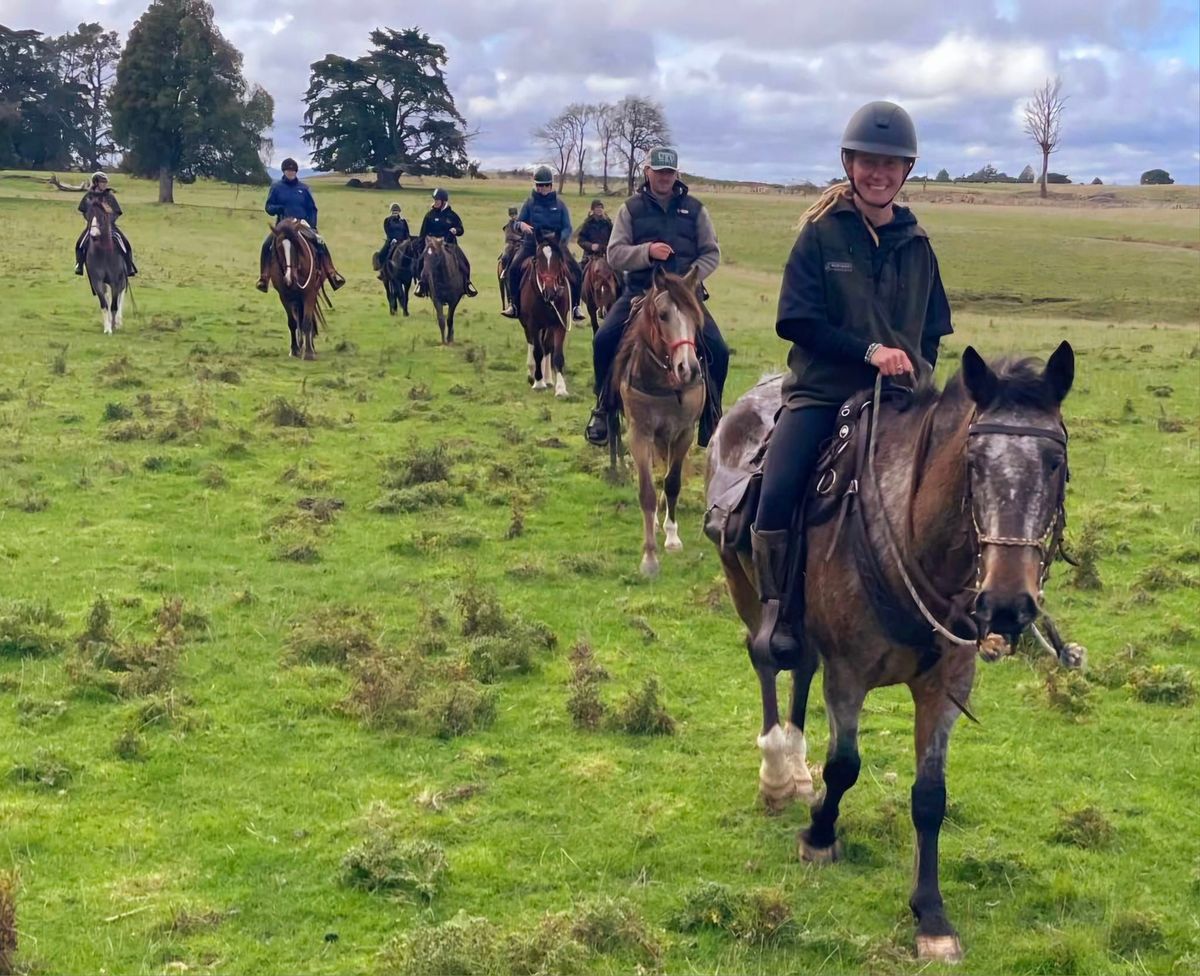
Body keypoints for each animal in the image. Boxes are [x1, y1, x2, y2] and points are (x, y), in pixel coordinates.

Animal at [82, 194, 127, 336]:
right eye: (89, 215)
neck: (103, 254)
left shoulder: (115, 281)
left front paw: (113, 324)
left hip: (122, 280)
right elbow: (104, 304)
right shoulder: (97, 281)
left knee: (120, 295)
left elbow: (114, 305)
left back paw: (118, 322)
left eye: (102, 216)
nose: (94, 235)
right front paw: (107, 328)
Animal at [268, 217, 328, 362]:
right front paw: (294, 349)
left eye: (296, 246)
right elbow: (292, 323)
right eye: (279, 247)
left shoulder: (309, 293)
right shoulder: (284, 296)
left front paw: (309, 353)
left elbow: (307, 321)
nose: (289, 278)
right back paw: (300, 345)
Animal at [516, 240, 571, 396]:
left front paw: (561, 389)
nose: (550, 292)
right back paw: (533, 374)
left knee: (546, 346)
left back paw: (548, 379)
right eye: (537, 260)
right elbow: (537, 351)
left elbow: (556, 354)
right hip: (527, 324)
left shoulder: (559, 323)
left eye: (558, 261)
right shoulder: (533, 324)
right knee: (532, 343)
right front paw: (538, 383)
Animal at [614, 262, 705, 573]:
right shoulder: (639, 434)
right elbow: (647, 491)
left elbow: (673, 482)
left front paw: (672, 537)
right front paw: (650, 557)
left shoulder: (684, 433)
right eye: (663, 315)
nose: (688, 368)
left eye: (696, 317)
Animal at [700, 340, 1080, 960]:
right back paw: (778, 771)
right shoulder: (849, 674)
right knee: (767, 656)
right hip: (745, 583)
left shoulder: (945, 687)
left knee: (799, 663)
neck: (910, 536)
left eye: (1055, 464)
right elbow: (845, 765)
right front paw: (819, 835)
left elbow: (930, 796)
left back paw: (796, 769)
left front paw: (931, 915)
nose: (1006, 604)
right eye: (974, 464)